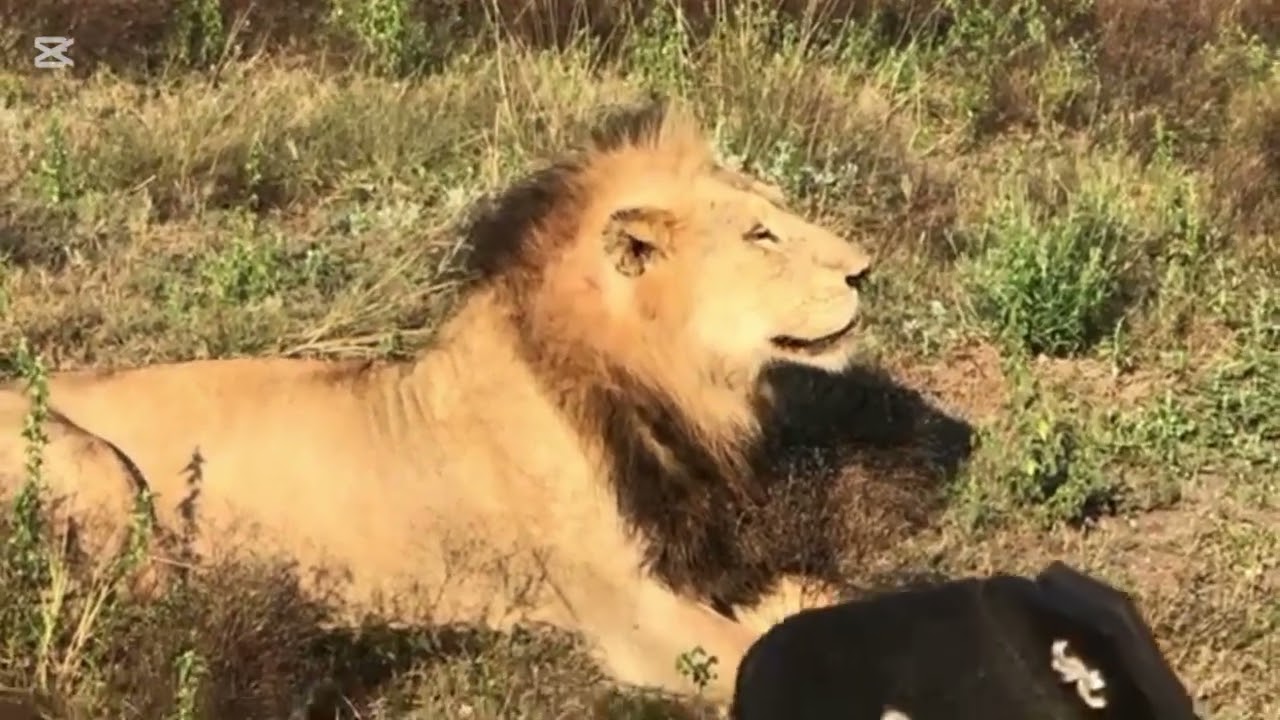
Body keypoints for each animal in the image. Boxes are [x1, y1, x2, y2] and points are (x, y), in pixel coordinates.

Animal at [0, 101, 874, 703]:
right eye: (761, 235)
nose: (867, 269)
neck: (665, 392)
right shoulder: (630, 616)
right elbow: (754, 660)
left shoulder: (700, 565)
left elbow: (822, 605)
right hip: (98, 471)